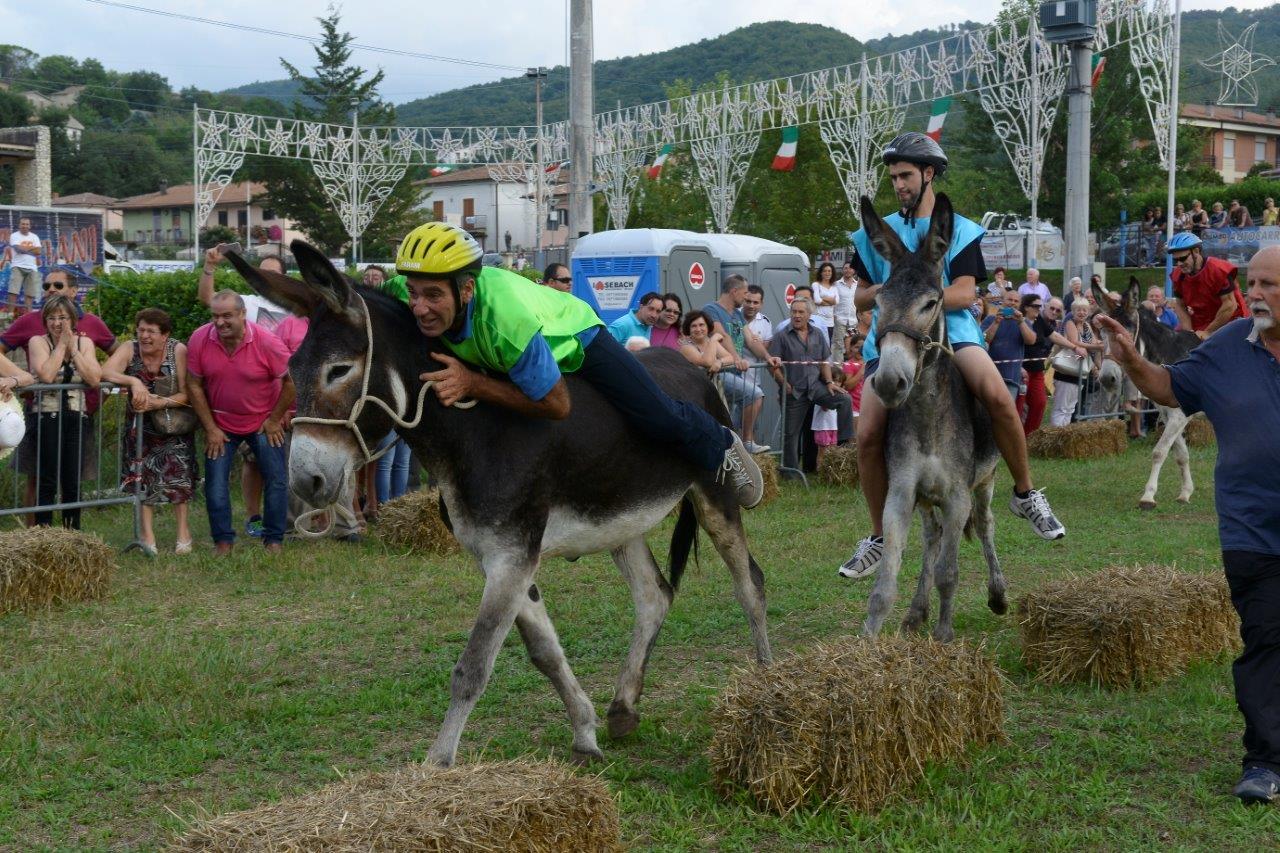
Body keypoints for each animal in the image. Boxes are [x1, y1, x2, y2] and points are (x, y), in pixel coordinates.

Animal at [227, 243, 773, 768]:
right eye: (290, 371)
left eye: (338, 370)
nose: (307, 480)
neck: (476, 430)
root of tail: (691, 366)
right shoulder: (498, 558)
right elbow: (544, 653)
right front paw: (585, 733)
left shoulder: (511, 557)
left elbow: (472, 667)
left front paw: (437, 765)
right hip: (621, 520)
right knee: (655, 595)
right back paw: (623, 708)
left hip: (713, 497)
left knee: (750, 584)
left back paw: (768, 683)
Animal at [856, 193, 1008, 642]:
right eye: (878, 302)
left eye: (931, 302)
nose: (889, 382)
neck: (926, 416)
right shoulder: (901, 493)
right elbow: (885, 583)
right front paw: (868, 640)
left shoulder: (958, 496)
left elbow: (949, 573)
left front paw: (943, 636)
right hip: (925, 499)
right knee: (932, 536)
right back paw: (916, 611)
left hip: (986, 480)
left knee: (986, 524)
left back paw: (998, 594)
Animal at [1091, 277, 1201, 509]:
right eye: (1102, 335)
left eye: (1125, 335)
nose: (1107, 378)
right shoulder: (1168, 414)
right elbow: (1181, 454)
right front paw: (1185, 493)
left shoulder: (1179, 415)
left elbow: (1159, 452)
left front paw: (1148, 496)